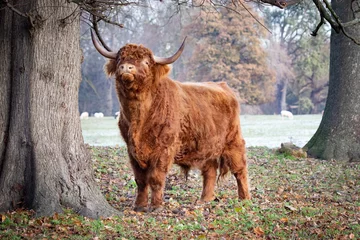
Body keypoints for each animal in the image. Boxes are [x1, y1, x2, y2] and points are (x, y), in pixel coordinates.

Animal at [91, 30, 250, 212]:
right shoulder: (132, 150)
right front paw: (139, 205)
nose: (126, 68)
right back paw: (205, 199)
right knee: (210, 170)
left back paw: (244, 198)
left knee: (240, 169)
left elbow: (156, 178)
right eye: (119, 59)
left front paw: (156, 205)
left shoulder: (163, 149)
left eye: (146, 62)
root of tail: (223, 86)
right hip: (206, 144)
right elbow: (140, 180)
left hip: (233, 140)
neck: (139, 117)